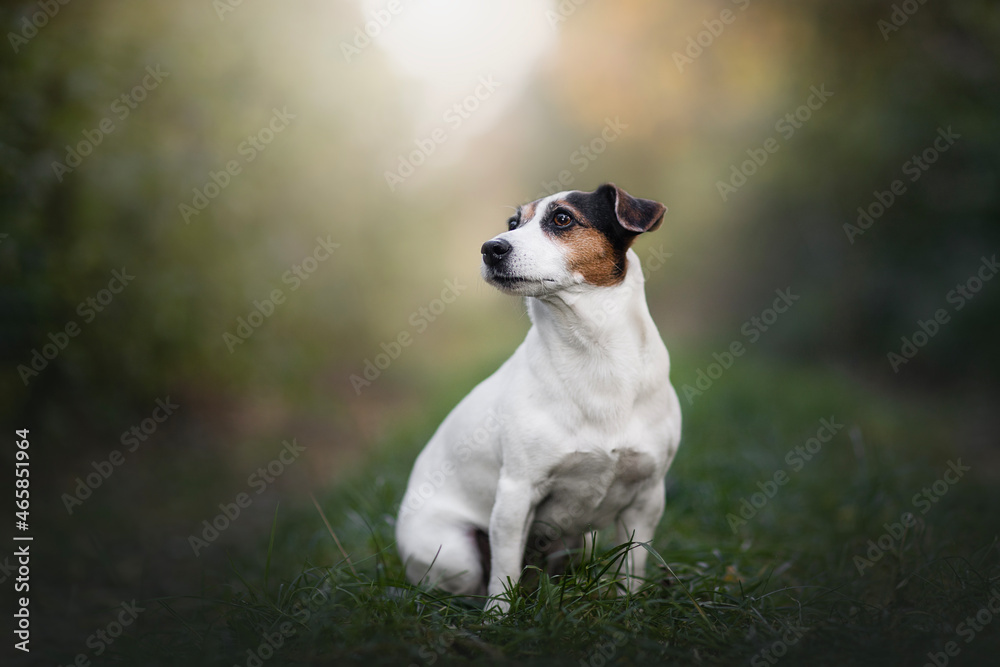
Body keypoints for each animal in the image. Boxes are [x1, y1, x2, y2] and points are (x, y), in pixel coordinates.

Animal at [394, 184, 684, 616]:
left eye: (562, 218)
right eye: (513, 223)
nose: (491, 247)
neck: (595, 357)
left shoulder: (647, 498)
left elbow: (631, 568)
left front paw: (627, 609)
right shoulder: (516, 494)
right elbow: (503, 574)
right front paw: (497, 619)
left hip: (583, 542)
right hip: (455, 552)